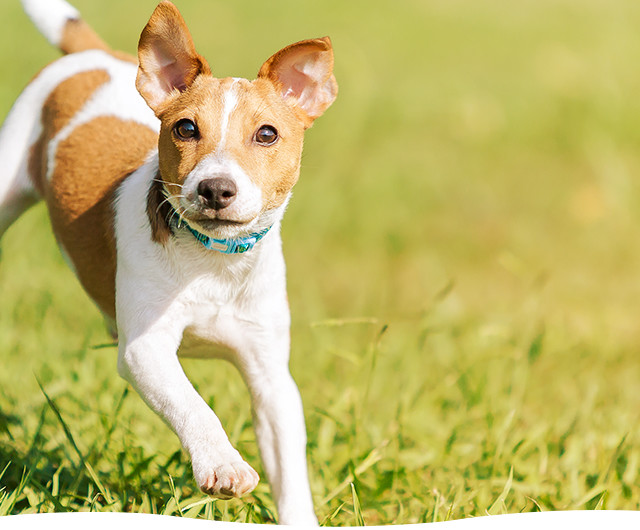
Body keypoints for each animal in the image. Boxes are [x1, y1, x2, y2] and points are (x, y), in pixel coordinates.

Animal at [0, 0, 338, 520]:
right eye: (186, 128)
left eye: (267, 134)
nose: (215, 188)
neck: (212, 261)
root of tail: (94, 53)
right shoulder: (146, 349)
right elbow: (193, 404)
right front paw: (223, 463)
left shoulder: (271, 375)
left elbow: (290, 465)